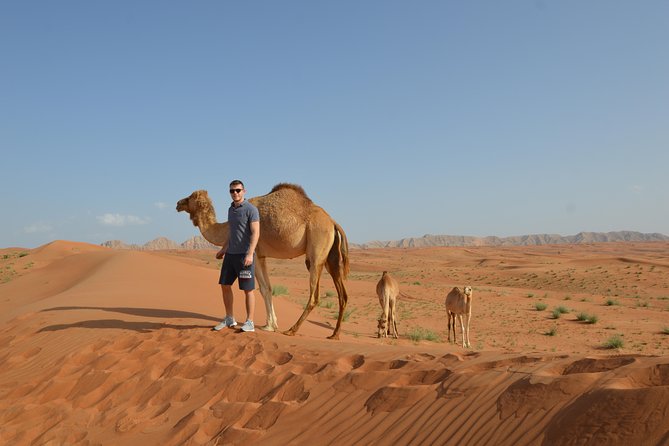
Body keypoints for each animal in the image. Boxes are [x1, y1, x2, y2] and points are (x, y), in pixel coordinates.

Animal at [172, 183, 350, 340]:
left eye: (190, 197)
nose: (178, 203)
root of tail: (332, 222)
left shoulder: (255, 254)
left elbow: (263, 289)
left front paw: (269, 326)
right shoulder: (263, 256)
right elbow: (269, 288)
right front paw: (271, 324)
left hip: (316, 251)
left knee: (314, 295)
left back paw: (291, 330)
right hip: (330, 257)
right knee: (343, 294)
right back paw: (334, 334)